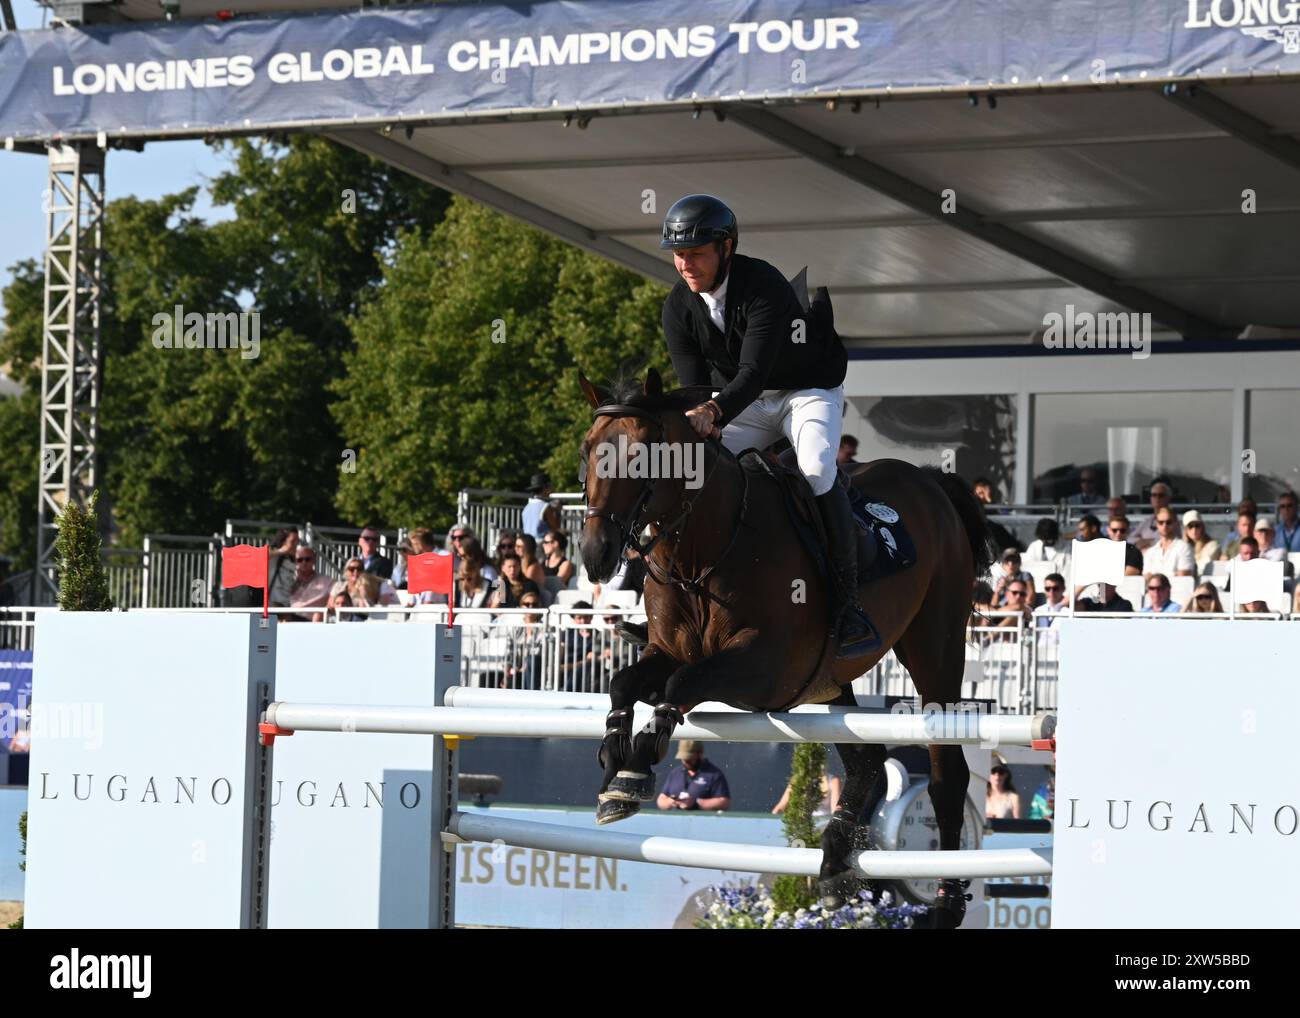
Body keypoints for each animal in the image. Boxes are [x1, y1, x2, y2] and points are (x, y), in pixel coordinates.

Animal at [579, 369, 993, 925]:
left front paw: (638, 763)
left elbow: (681, 682)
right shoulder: (669, 651)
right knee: (867, 758)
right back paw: (836, 857)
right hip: (829, 681)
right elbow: (627, 682)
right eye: (588, 451)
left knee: (947, 771)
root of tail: (933, 484)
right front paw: (614, 765)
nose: (596, 554)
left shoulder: (765, 668)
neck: (703, 551)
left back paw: (945, 902)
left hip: (934, 651)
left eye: (646, 453)